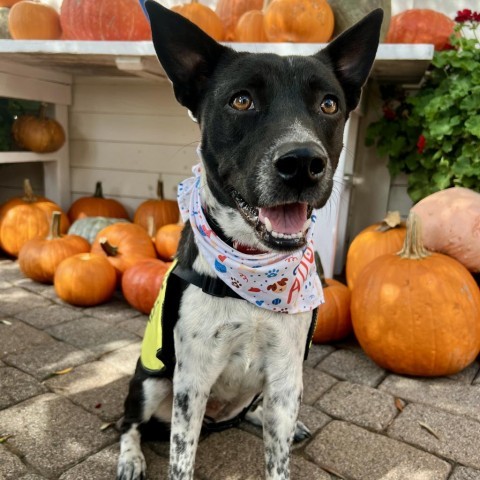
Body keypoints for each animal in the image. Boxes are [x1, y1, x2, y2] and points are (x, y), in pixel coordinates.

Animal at [117, 1, 382, 478]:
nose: (302, 162)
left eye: (329, 104)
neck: (254, 272)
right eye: (242, 100)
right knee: (128, 421)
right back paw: (130, 457)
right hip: (149, 382)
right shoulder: (192, 381)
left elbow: (278, 458)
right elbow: (180, 458)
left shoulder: (285, 376)